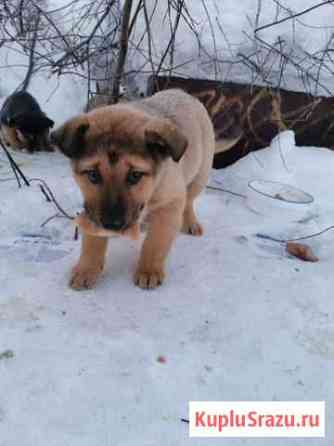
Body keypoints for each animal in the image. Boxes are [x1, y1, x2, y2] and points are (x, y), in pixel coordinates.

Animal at [50, 89, 217, 290]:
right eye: (93, 175)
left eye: (135, 175)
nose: (112, 225)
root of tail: (181, 92)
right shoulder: (91, 208)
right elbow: (92, 241)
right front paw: (86, 270)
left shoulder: (170, 203)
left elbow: (156, 242)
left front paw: (149, 270)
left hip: (200, 174)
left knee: (189, 201)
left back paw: (190, 223)